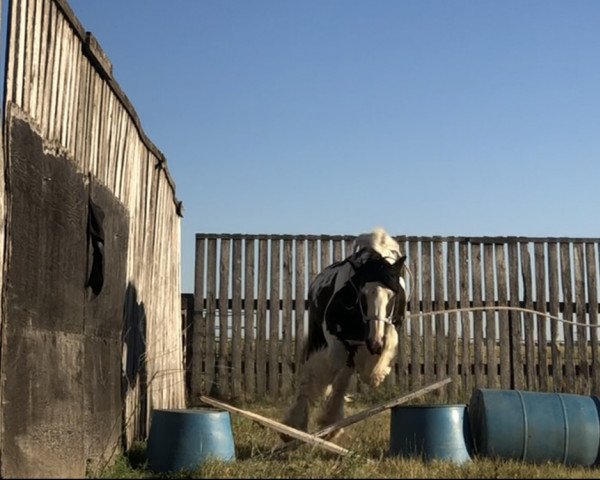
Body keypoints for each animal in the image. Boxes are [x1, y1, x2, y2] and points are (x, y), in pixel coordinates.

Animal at [282, 227, 408, 440]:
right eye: (362, 294)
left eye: (393, 295)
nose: (375, 343)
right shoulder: (334, 339)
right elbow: (324, 370)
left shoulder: (389, 328)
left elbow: (373, 362)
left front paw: (377, 373)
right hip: (318, 338)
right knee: (316, 373)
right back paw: (295, 426)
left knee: (342, 375)